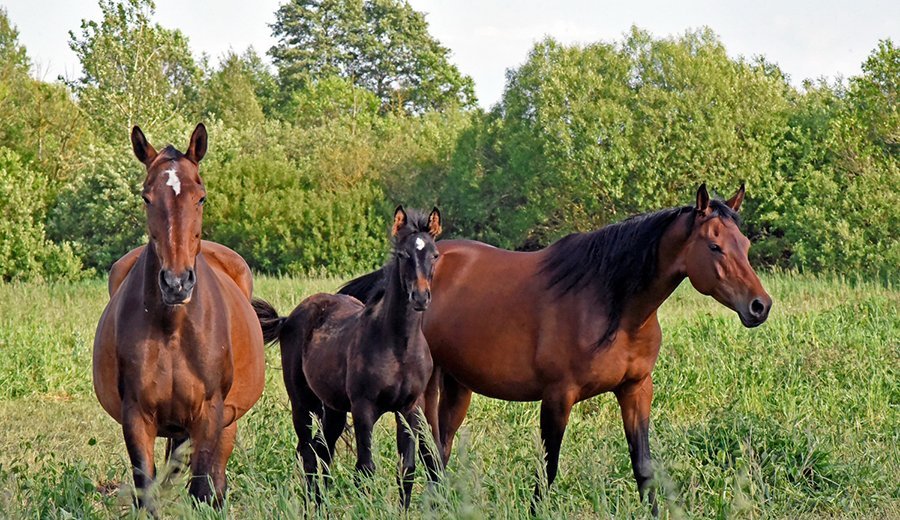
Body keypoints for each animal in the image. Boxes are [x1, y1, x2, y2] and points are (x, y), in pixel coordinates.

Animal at [92, 124, 266, 510]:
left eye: (200, 197)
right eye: (146, 198)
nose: (176, 283)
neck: (172, 329)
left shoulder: (209, 415)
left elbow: (202, 490)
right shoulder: (136, 418)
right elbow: (147, 492)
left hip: (226, 423)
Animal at [253, 206, 442, 508]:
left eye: (434, 255)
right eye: (403, 255)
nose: (420, 297)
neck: (398, 347)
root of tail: (289, 318)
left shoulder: (409, 408)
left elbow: (407, 469)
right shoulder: (364, 408)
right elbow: (365, 469)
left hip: (334, 409)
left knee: (323, 451)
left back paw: (322, 504)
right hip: (302, 402)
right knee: (308, 453)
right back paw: (313, 507)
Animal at [340, 184, 772, 512]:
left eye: (745, 244)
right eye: (714, 246)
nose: (759, 306)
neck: (610, 304)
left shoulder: (636, 390)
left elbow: (644, 470)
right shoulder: (557, 398)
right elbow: (547, 472)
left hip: (457, 387)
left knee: (439, 451)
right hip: (424, 393)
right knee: (423, 455)